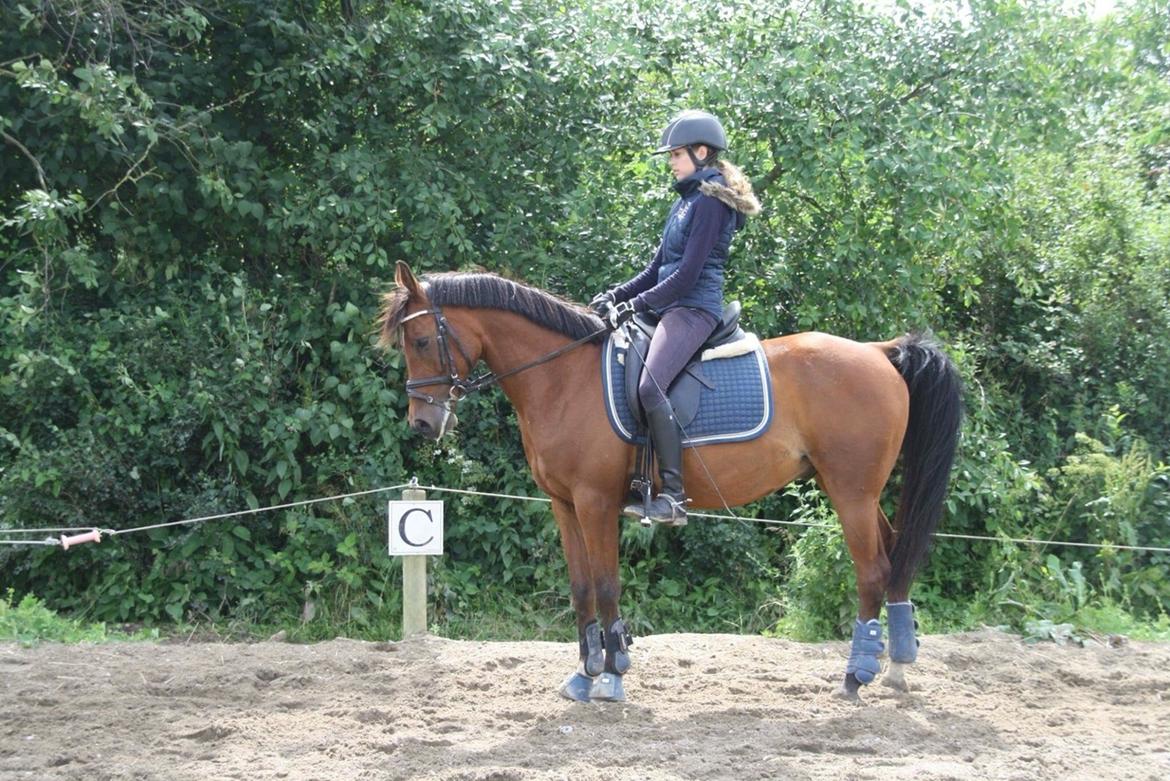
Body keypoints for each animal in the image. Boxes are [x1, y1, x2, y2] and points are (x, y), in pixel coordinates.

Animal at [378, 261, 962, 702]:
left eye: (423, 340)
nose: (422, 423)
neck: (562, 378)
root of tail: (879, 351)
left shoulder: (594, 502)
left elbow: (607, 585)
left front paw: (612, 674)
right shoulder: (564, 504)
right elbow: (581, 588)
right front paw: (585, 672)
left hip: (850, 491)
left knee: (873, 569)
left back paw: (856, 675)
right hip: (857, 490)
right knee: (894, 555)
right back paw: (896, 667)